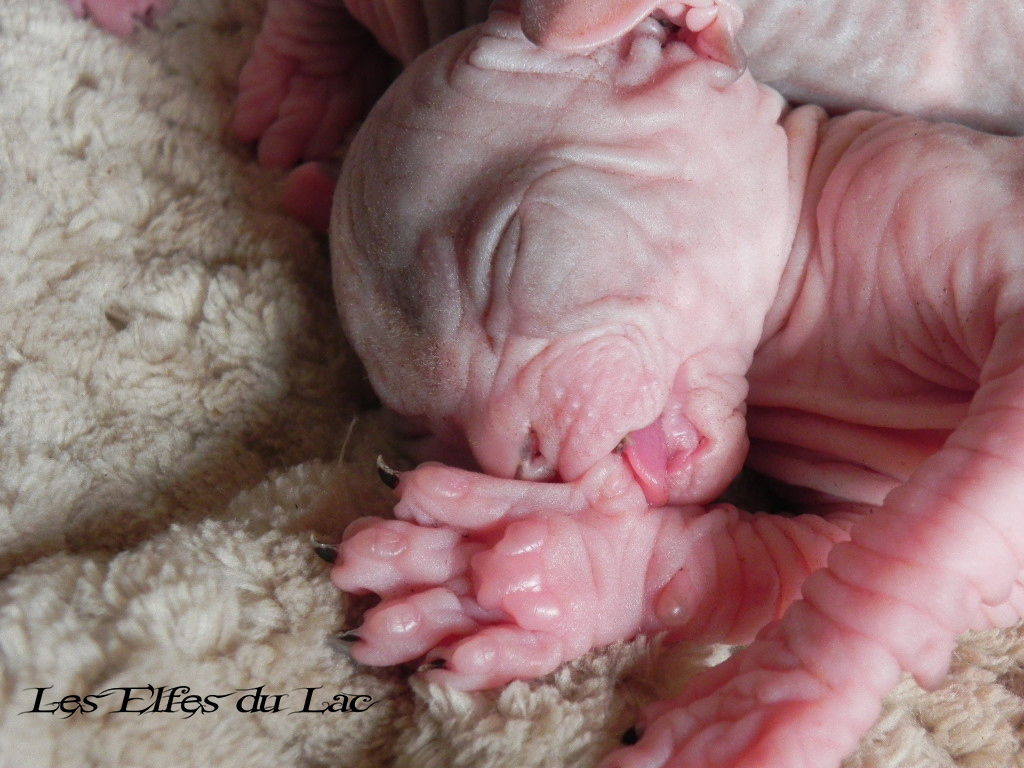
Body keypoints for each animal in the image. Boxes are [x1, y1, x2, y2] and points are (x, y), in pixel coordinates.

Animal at [327, 4, 1024, 768]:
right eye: (439, 433)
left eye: (514, 252)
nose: (523, 459)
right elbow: (812, 560)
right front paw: (556, 574)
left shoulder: (926, 185)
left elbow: (916, 544)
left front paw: (760, 714)